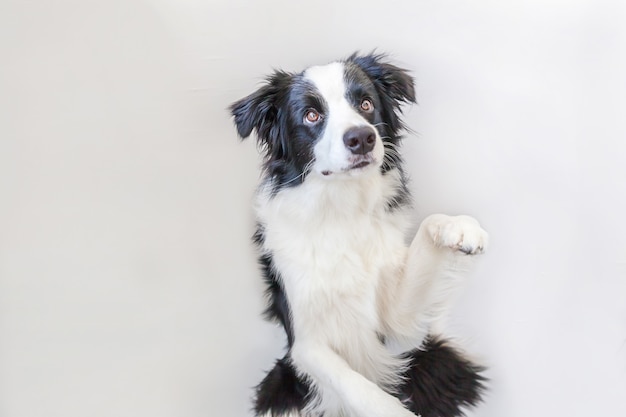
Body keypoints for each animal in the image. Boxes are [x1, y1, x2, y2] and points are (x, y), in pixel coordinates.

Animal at [229, 53, 488, 416]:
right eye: (311, 115)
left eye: (365, 104)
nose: (362, 138)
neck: (342, 209)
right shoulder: (304, 343)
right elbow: (351, 381)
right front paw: (392, 410)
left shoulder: (394, 324)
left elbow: (427, 231)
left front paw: (459, 226)